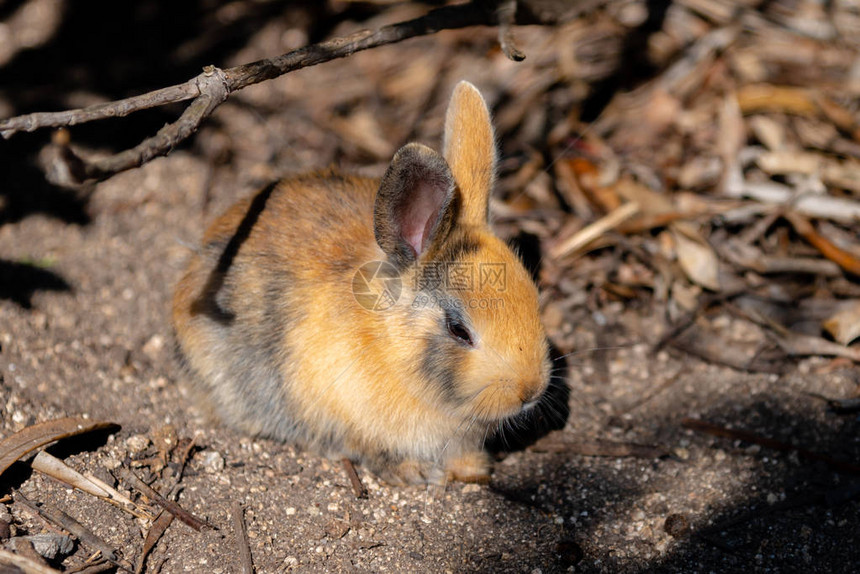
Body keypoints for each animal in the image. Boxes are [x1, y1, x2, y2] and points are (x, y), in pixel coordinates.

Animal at [173, 82, 552, 486]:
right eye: (458, 330)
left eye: (534, 297)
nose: (530, 390)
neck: (392, 347)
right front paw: (416, 472)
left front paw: (473, 468)